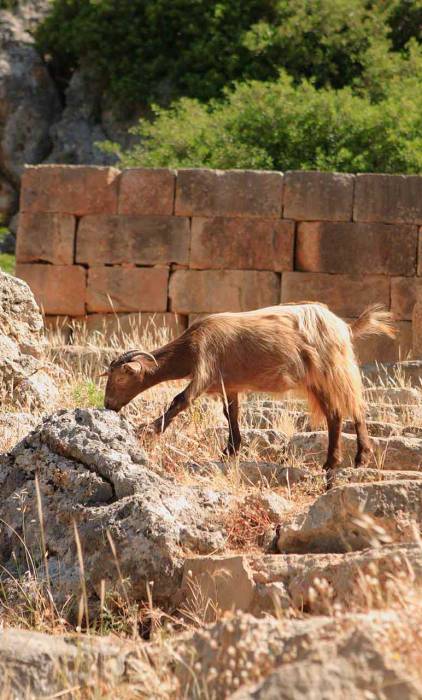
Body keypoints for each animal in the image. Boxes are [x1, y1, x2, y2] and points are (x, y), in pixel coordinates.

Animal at [103, 303, 395, 486]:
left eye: (119, 378)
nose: (108, 406)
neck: (190, 345)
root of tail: (345, 327)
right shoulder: (228, 383)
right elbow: (231, 413)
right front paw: (231, 449)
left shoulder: (205, 369)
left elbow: (180, 400)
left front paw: (148, 430)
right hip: (316, 381)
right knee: (334, 415)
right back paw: (330, 463)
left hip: (335, 369)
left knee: (355, 407)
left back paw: (360, 457)